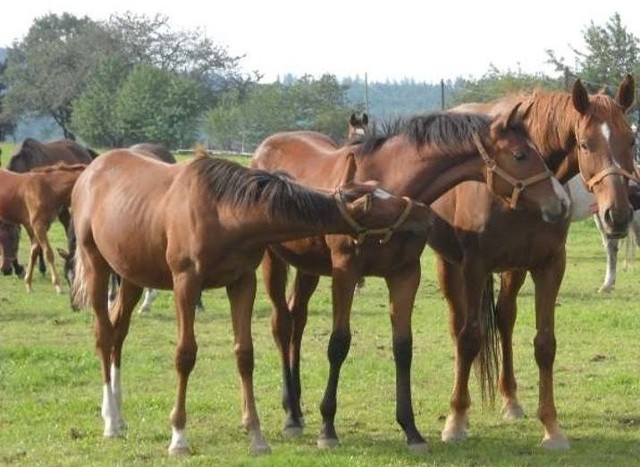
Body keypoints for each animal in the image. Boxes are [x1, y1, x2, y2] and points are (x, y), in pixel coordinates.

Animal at [0, 164, 87, 292]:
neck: (48, 188)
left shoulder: (41, 226)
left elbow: (34, 251)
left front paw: (28, 284)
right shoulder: (38, 225)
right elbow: (48, 252)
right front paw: (58, 285)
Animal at [69, 148, 436, 456]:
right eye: (383, 207)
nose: (426, 216)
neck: (221, 210)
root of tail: (90, 172)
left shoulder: (242, 282)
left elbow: (245, 354)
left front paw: (256, 435)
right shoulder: (186, 283)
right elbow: (185, 355)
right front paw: (179, 436)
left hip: (130, 275)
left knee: (118, 332)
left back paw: (118, 414)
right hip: (97, 265)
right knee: (103, 335)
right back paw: (110, 421)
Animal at [252, 108, 568, 452]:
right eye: (520, 155)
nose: (561, 203)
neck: (386, 190)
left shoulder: (405, 274)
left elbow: (403, 347)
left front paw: (411, 430)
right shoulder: (345, 271)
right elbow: (338, 343)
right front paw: (328, 428)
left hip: (309, 267)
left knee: (297, 319)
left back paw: (295, 408)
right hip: (273, 261)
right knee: (282, 324)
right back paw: (291, 417)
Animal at [432, 75, 636, 452]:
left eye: (630, 140)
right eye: (584, 144)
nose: (617, 215)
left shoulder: (549, 266)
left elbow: (545, 344)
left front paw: (552, 428)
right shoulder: (474, 265)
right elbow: (469, 338)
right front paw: (456, 420)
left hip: (514, 270)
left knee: (505, 318)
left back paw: (511, 400)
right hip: (448, 265)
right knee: (458, 327)